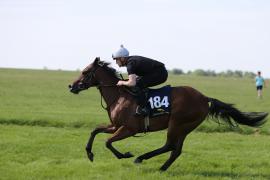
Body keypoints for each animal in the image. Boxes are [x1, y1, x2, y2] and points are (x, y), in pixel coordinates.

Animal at [69, 57, 268, 172]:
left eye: (85, 72)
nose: (71, 86)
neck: (119, 96)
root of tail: (205, 98)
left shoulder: (129, 129)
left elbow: (108, 142)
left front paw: (125, 155)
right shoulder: (115, 126)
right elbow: (95, 131)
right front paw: (89, 154)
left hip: (177, 123)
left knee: (170, 146)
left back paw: (142, 159)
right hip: (185, 127)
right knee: (175, 150)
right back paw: (162, 167)